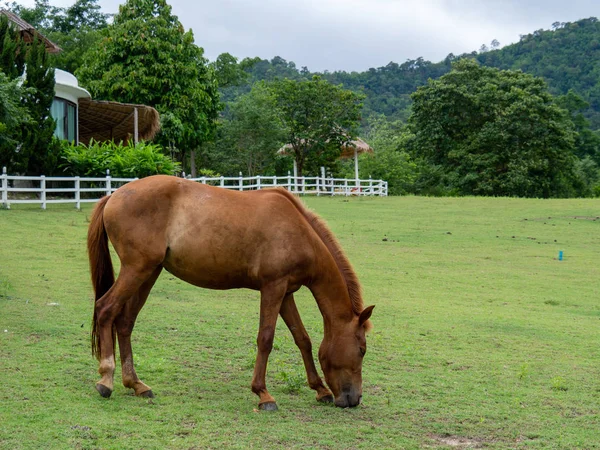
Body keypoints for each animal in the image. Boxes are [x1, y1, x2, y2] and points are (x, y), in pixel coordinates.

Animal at [86, 174, 372, 410]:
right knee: (106, 309)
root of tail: (114, 195)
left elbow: (302, 338)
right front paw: (263, 394)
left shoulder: (286, 293)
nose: (354, 399)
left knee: (125, 321)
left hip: (149, 272)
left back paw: (136, 384)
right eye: (361, 350)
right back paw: (106, 379)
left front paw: (320, 390)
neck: (298, 230)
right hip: (136, 269)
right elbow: (265, 338)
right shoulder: (273, 288)